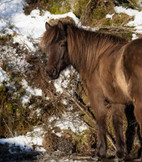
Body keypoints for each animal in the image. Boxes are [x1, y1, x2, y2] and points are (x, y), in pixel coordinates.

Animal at [39, 20, 142, 159]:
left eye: (62, 44)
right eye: (48, 47)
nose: (50, 72)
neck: (96, 59)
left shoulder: (95, 95)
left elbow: (100, 119)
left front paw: (100, 152)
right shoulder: (117, 100)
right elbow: (117, 122)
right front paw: (120, 153)